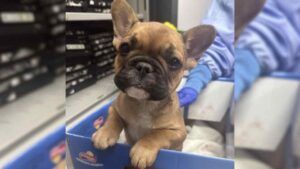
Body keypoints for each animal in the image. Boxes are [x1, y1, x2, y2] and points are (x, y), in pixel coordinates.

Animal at [91, 0, 216, 168]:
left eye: (174, 62)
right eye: (124, 47)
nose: (144, 66)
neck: (144, 104)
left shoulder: (177, 132)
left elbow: (157, 134)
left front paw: (142, 150)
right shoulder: (114, 108)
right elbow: (113, 118)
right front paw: (104, 133)